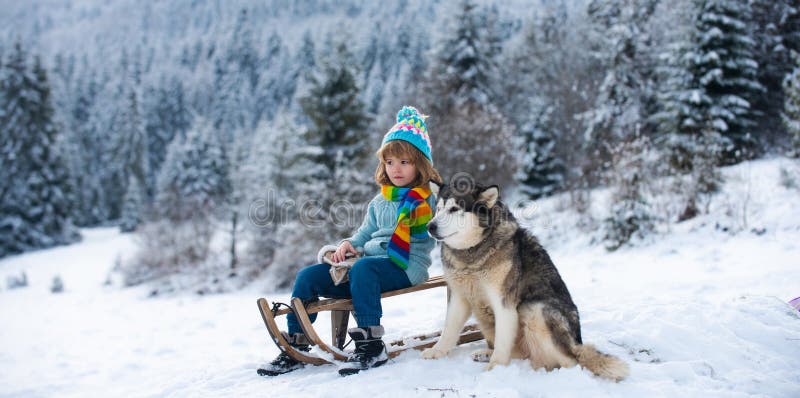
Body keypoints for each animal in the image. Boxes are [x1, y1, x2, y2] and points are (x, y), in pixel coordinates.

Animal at [422, 181, 628, 382]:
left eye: (454, 209)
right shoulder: (458, 296)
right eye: (438, 209)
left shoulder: (503, 303)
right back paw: (486, 353)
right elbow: (449, 329)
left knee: (572, 362)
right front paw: (437, 351)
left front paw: (495, 368)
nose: (430, 227)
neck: (472, 253)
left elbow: (502, 342)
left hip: (535, 309)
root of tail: (578, 343)